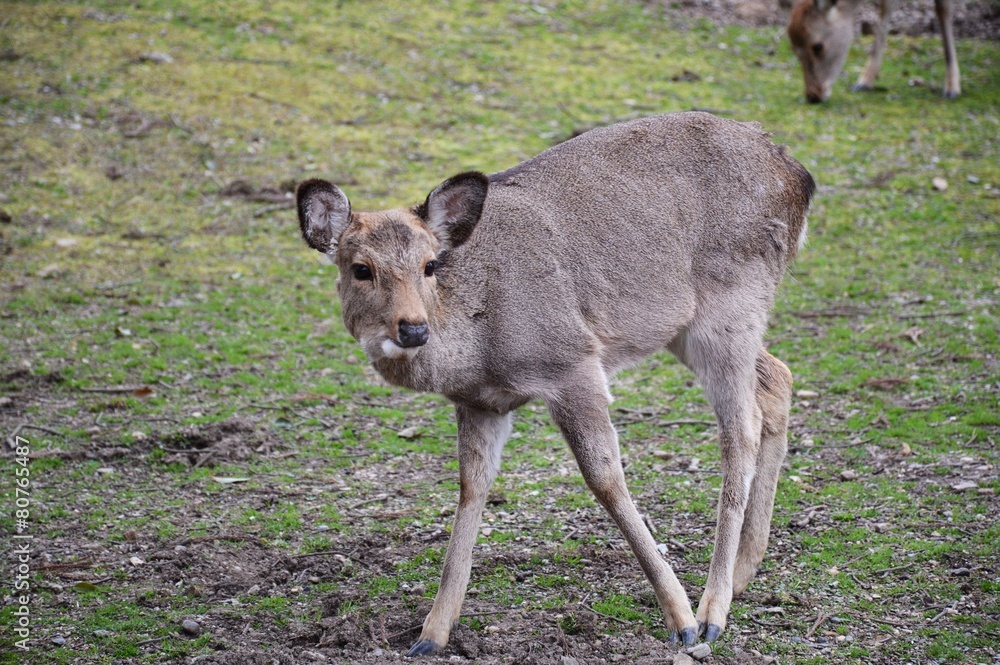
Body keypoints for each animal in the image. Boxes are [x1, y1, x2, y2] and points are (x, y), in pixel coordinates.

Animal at [294, 110, 812, 652]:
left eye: (430, 264)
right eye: (361, 269)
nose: (413, 328)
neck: (479, 347)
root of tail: (798, 176)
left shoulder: (572, 363)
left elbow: (604, 477)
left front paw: (680, 618)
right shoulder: (480, 403)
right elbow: (471, 486)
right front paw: (431, 633)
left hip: (731, 303)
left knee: (741, 427)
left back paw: (712, 609)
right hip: (686, 326)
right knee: (777, 378)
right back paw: (743, 572)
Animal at [788, 0, 960, 102]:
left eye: (817, 46)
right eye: (795, 51)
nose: (813, 96)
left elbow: (943, 8)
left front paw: (952, 88)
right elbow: (887, 6)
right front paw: (864, 81)